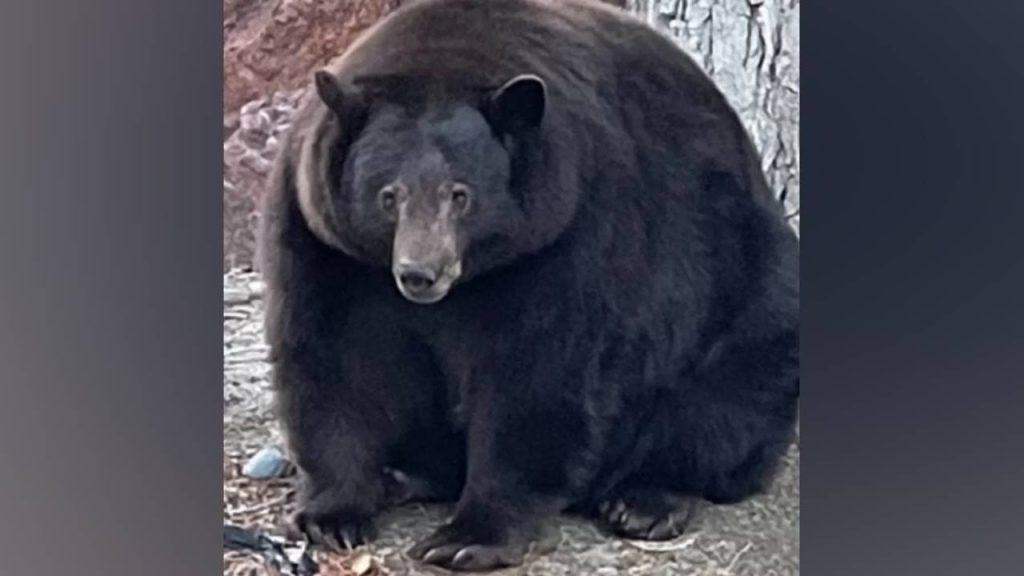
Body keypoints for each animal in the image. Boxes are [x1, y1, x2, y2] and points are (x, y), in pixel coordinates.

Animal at [258, 0, 798, 565]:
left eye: (460, 195)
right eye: (390, 195)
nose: (419, 273)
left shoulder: (570, 231)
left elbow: (539, 372)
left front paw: (467, 537)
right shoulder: (325, 242)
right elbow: (335, 358)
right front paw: (332, 515)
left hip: (745, 289)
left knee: (724, 400)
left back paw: (645, 500)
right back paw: (405, 475)